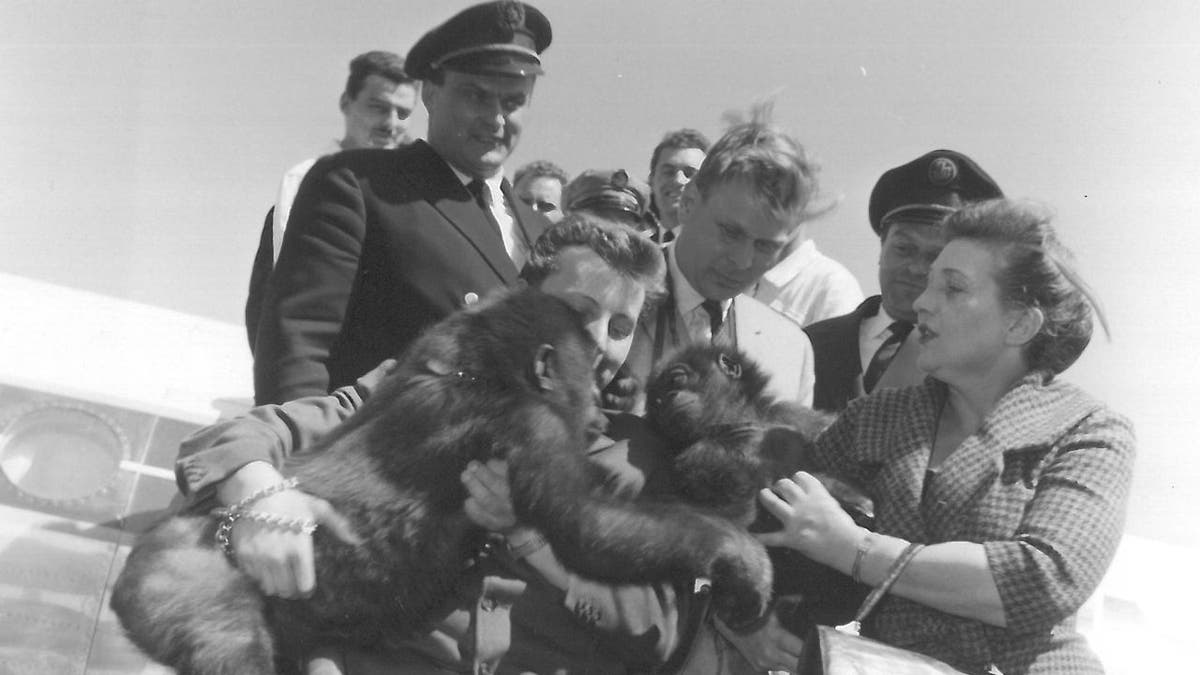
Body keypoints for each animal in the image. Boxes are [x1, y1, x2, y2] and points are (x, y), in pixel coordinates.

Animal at [110, 288, 768, 672]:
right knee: (231, 647)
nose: (602, 408)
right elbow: (590, 526)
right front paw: (741, 560)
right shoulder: (531, 423)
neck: (479, 368)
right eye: (586, 376)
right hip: (178, 581)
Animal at [648, 343, 873, 634]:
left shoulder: (802, 420)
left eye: (676, 380)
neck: (741, 425)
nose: (667, 400)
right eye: (657, 403)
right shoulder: (697, 457)